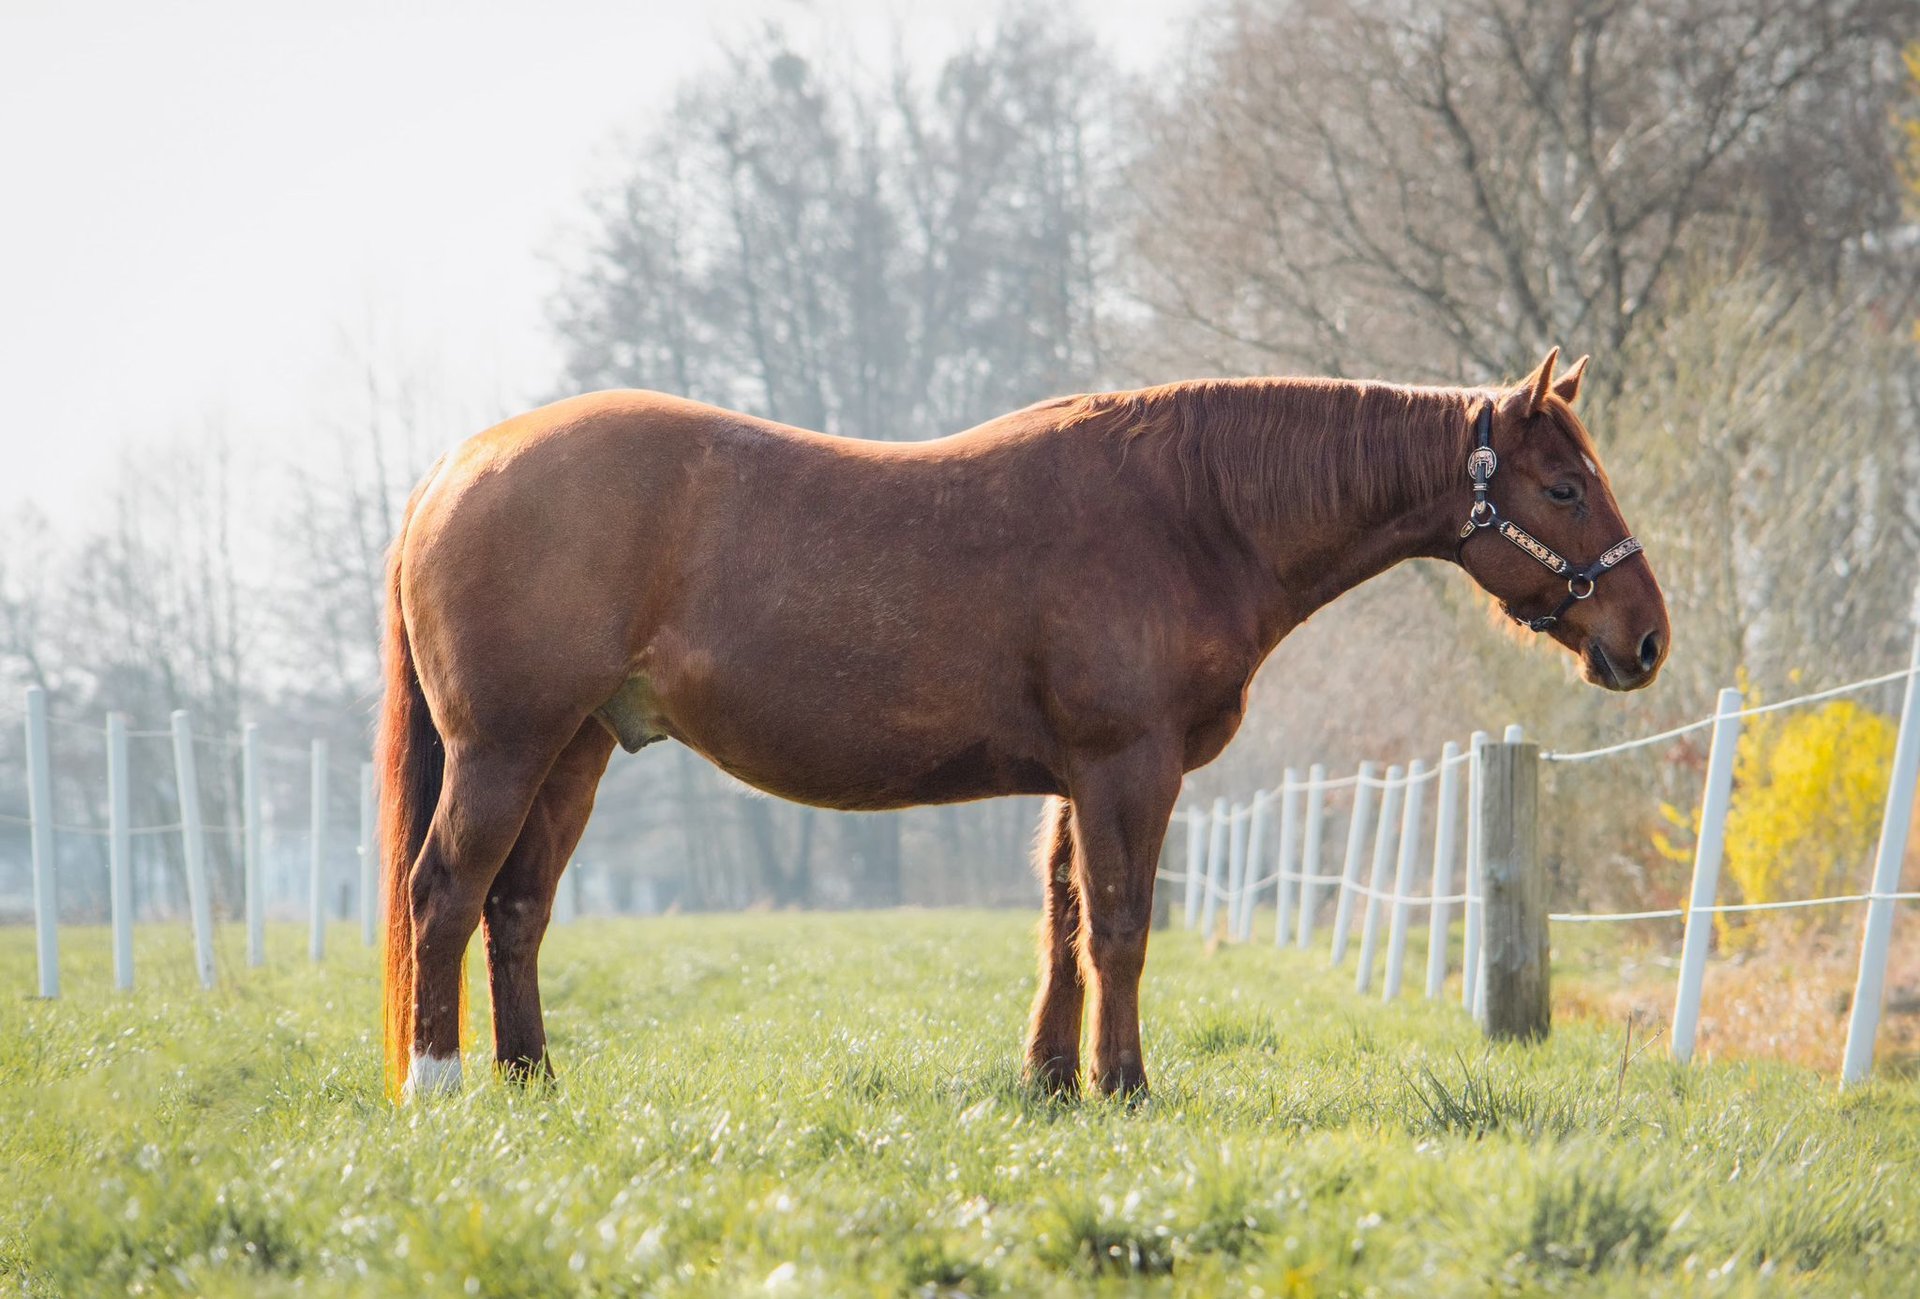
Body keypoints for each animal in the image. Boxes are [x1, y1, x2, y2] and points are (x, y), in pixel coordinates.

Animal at [378, 346, 1669, 1101]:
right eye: (1565, 487)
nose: (1646, 637)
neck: (1189, 515)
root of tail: (454, 467)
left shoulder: (1075, 778)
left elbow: (1061, 923)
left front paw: (1053, 1078)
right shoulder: (1128, 768)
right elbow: (1121, 927)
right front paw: (1125, 1084)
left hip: (576, 751)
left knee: (515, 908)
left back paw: (531, 1081)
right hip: (506, 749)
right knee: (445, 894)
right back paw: (439, 1086)